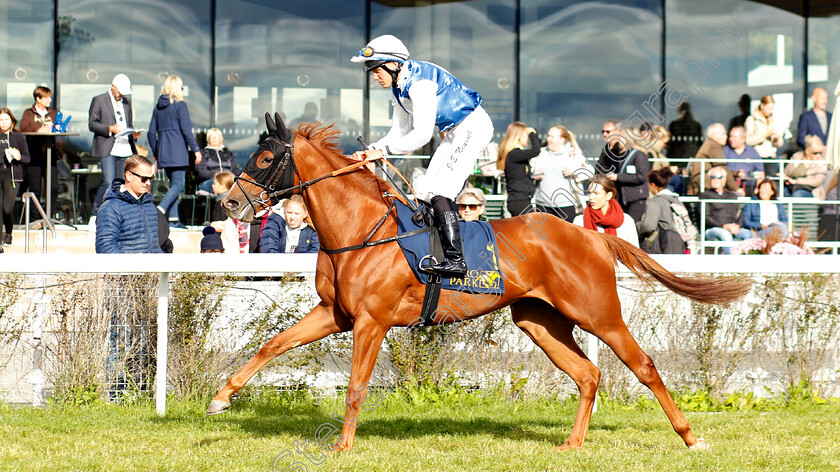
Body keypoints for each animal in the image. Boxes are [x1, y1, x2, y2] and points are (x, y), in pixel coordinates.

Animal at [208, 112, 748, 452]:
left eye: (263, 160)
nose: (230, 204)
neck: (360, 228)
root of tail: (592, 236)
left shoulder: (371, 321)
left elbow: (356, 385)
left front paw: (341, 445)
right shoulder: (335, 313)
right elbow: (272, 345)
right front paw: (221, 397)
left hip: (598, 314)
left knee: (644, 366)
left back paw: (690, 436)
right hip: (539, 320)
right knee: (588, 375)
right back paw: (573, 443)